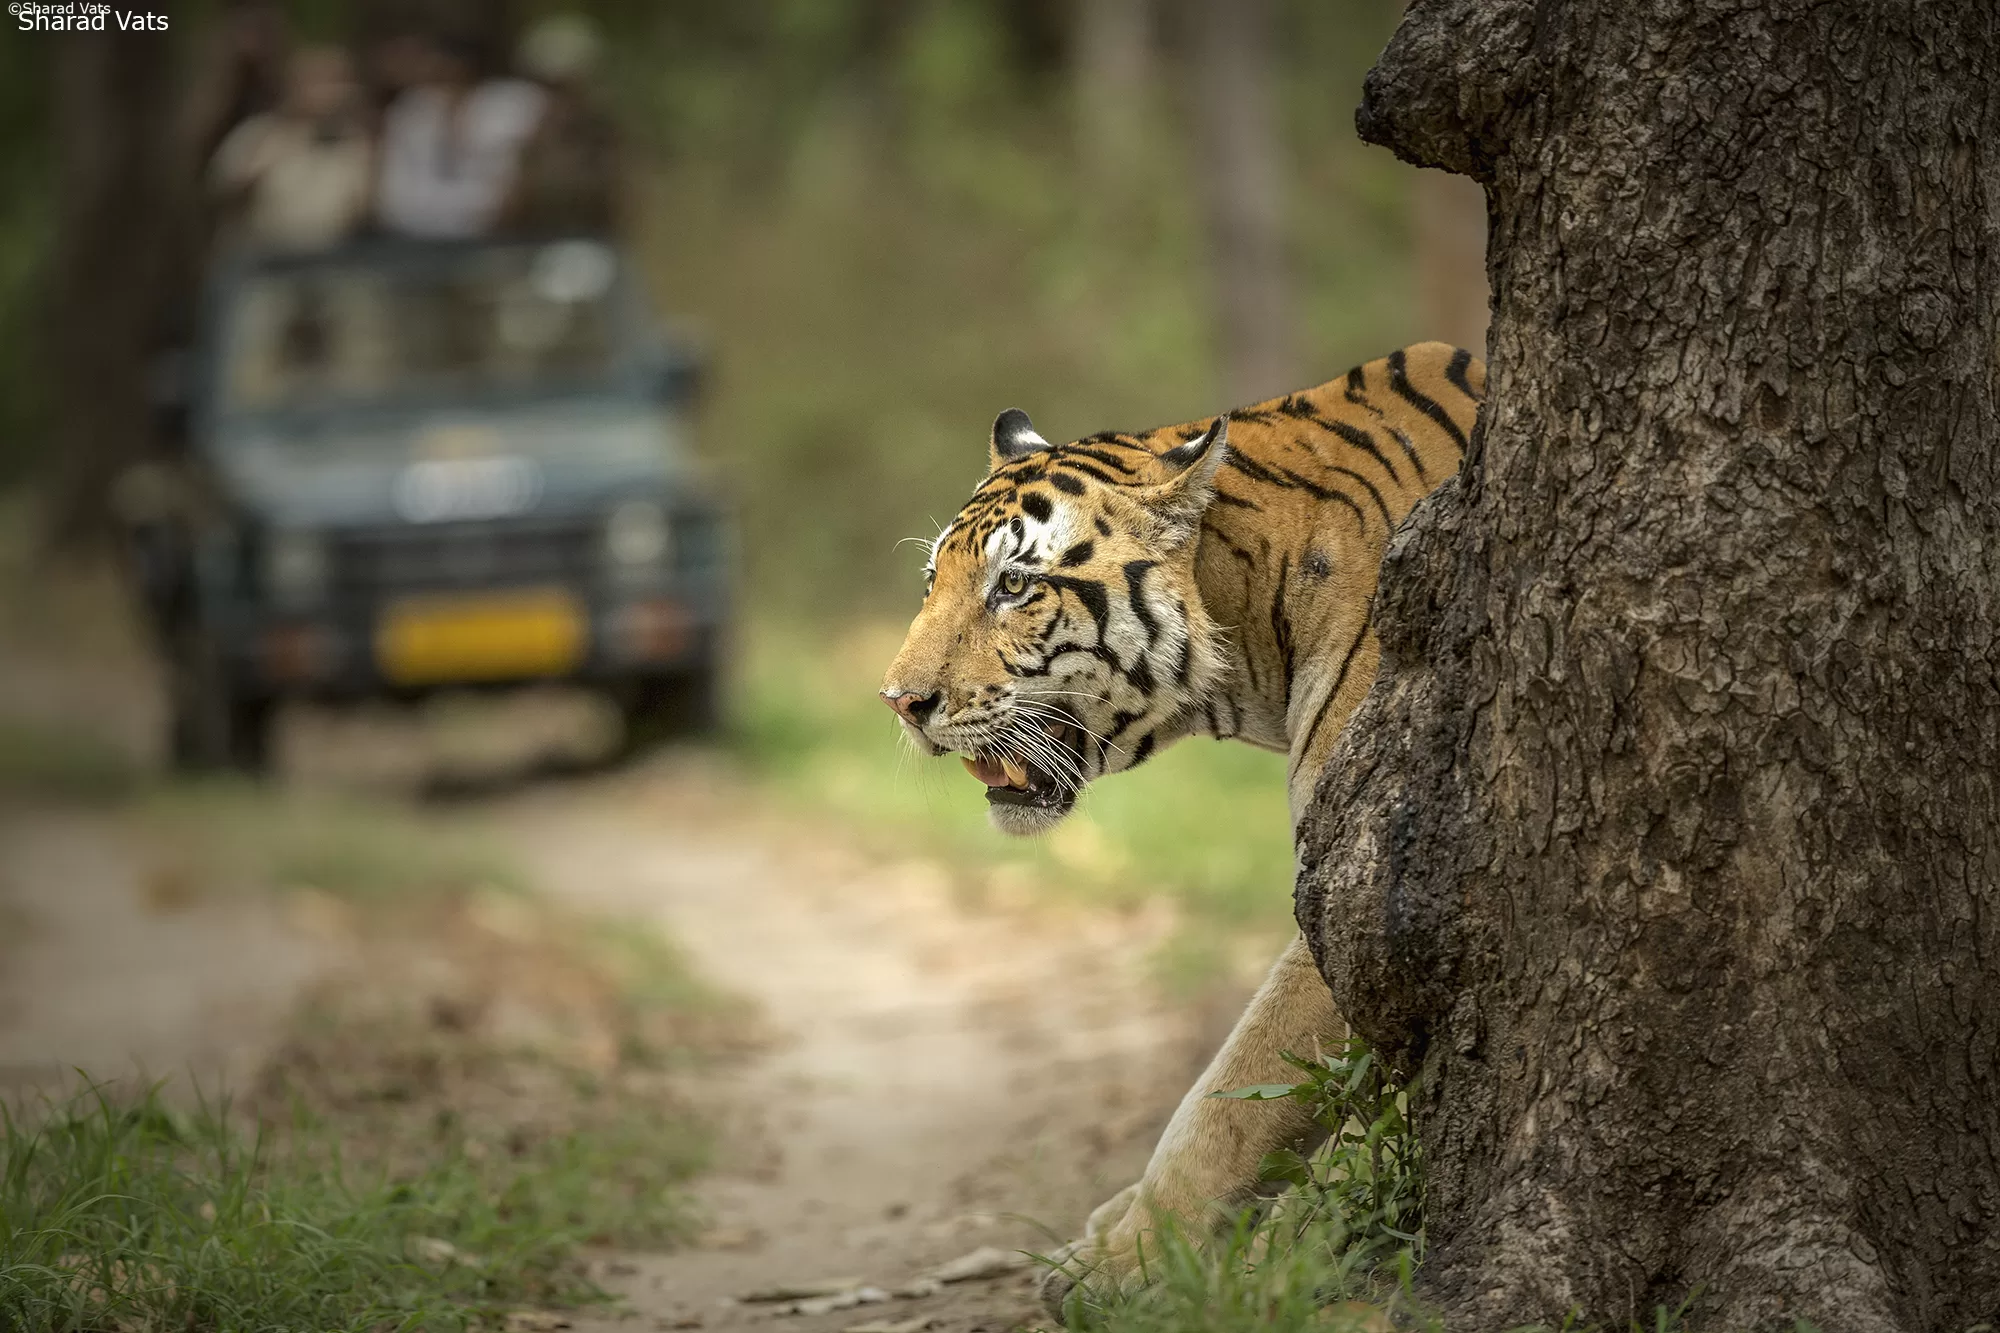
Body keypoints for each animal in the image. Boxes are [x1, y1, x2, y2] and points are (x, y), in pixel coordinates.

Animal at [880, 340, 1484, 1314]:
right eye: (935, 581)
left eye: (1014, 584)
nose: (899, 701)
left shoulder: (1362, 875)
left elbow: (1233, 1090)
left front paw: (1130, 1262)